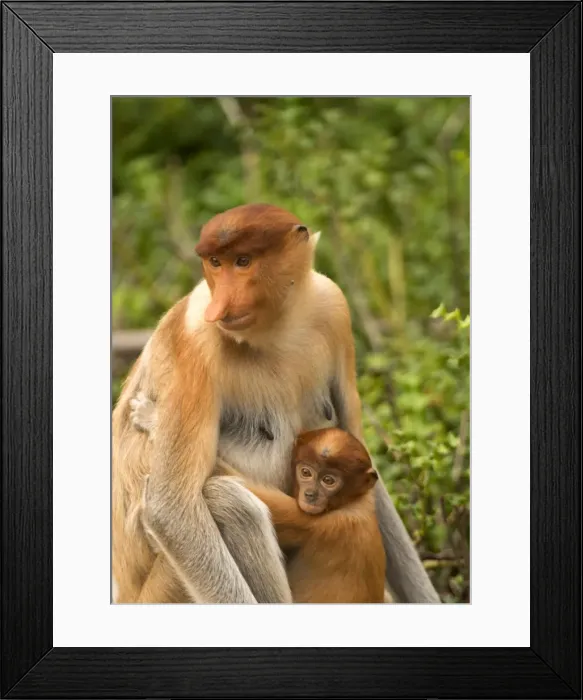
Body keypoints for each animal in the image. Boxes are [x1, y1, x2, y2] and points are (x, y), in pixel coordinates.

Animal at [112, 203, 440, 604]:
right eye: (215, 263)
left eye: (243, 261)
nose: (221, 306)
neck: (275, 329)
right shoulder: (196, 339)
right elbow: (171, 510)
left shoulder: (334, 305)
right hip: (166, 591)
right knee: (231, 504)